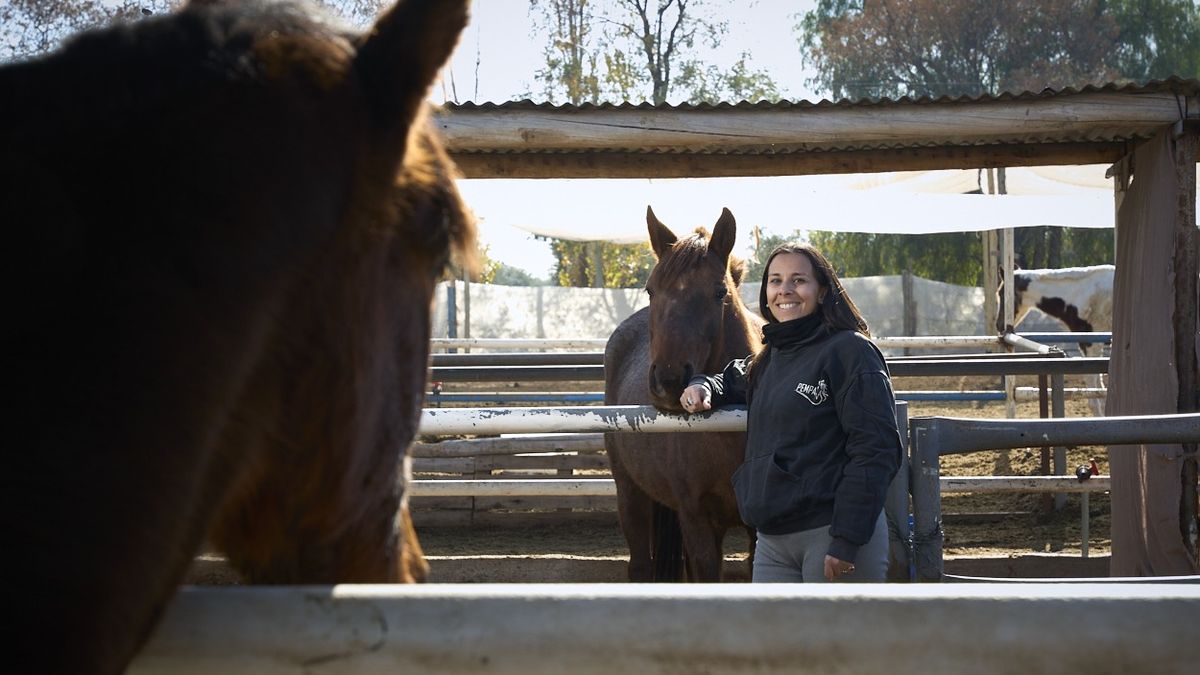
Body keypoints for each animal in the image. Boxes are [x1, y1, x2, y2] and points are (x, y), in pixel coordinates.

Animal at [603, 207, 762, 582]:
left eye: (719, 292)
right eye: (650, 290)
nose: (670, 380)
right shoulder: (696, 519)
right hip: (630, 493)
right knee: (640, 566)